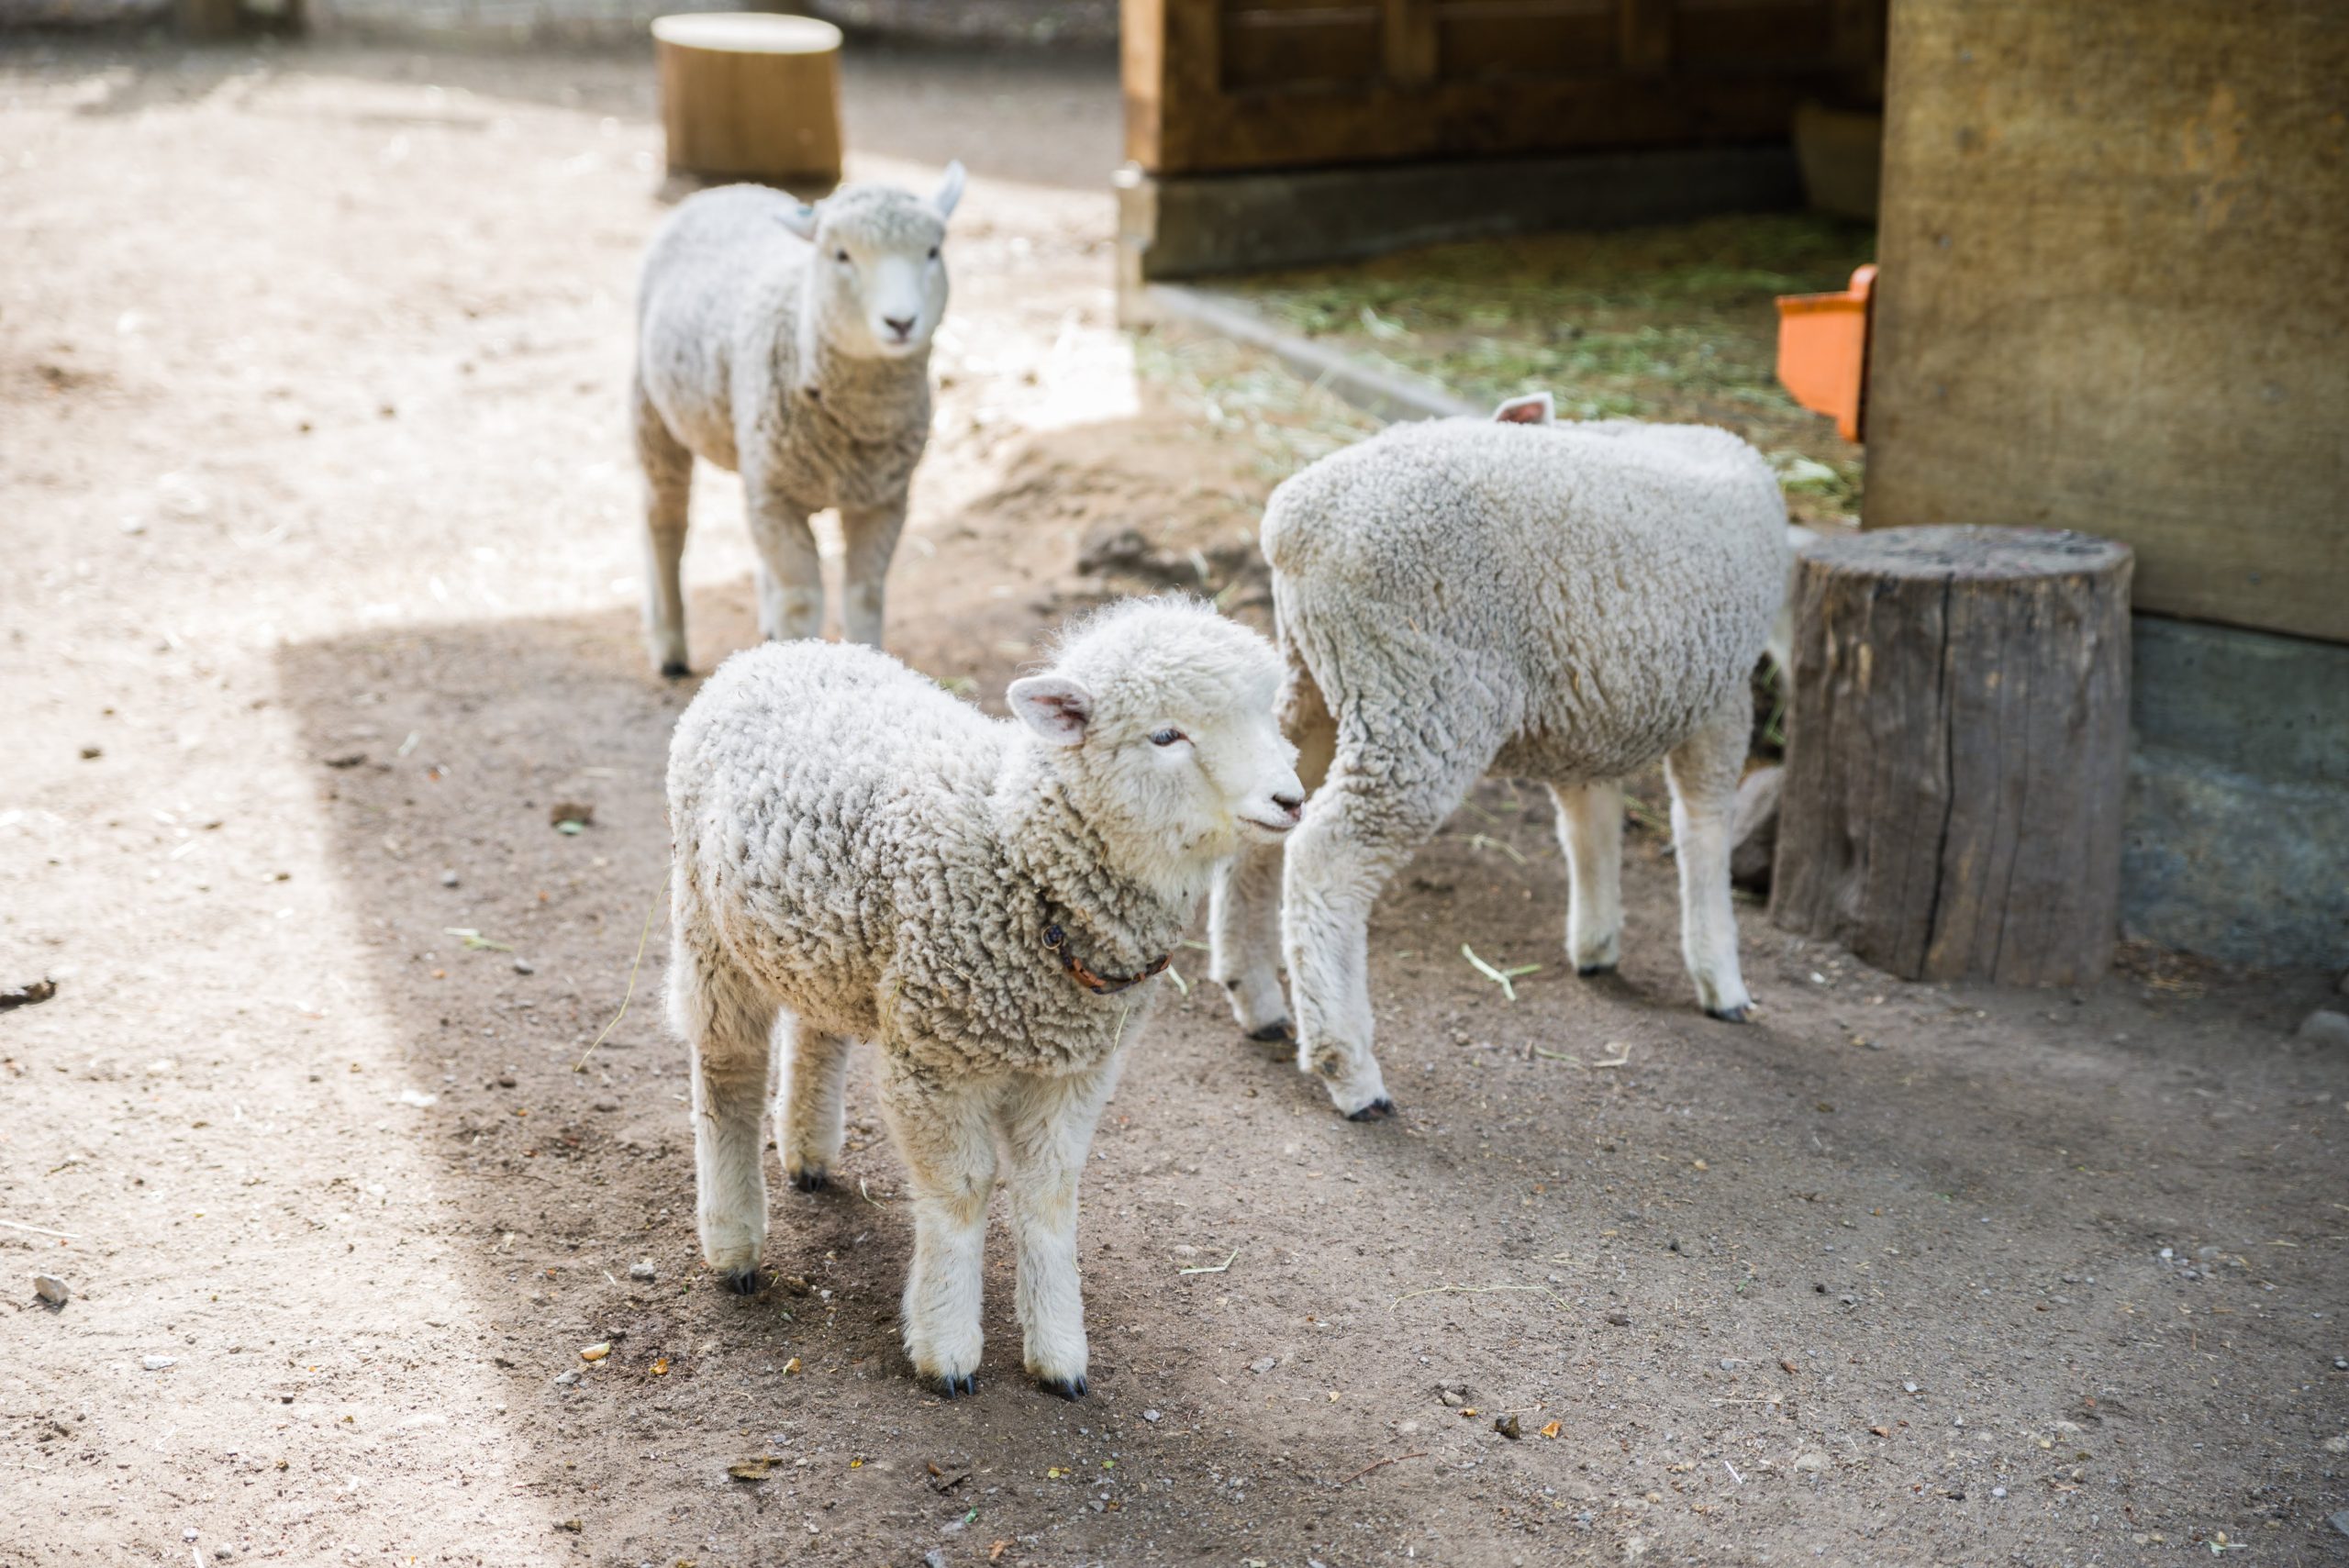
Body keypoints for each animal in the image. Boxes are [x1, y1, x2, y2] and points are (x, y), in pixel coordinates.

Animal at [629, 161, 967, 675]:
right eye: (841, 255)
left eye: (933, 251)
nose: (901, 323)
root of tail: (726, 188)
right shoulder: (779, 497)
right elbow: (802, 600)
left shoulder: (883, 499)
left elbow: (865, 596)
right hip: (655, 411)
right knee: (664, 520)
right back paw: (669, 645)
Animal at [667, 600, 1306, 1398]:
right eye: (1166, 735)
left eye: (1268, 715)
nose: (1290, 799)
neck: (1019, 857)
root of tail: (778, 651)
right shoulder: (933, 1059)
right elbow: (962, 1194)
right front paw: (946, 1345)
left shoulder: (1076, 1070)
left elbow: (1048, 1195)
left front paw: (1059, 1350)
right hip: (707, 924)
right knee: (727, 1076)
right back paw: (734, 1244)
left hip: (826, 945)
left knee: (817, 1031)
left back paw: (809, 1151)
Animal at [1221, 392, 1785, 1127]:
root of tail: (1296, 525)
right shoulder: (1724, 696)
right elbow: (1705, 827)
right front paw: (1721, 975)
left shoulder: (1589, 706)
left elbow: (1588, 822)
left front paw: (1596, 943)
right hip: (1424, 690)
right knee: (1327, 858)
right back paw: (1350, 1070)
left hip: (1316, 680)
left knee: (1261, 824)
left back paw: (1256, 997)